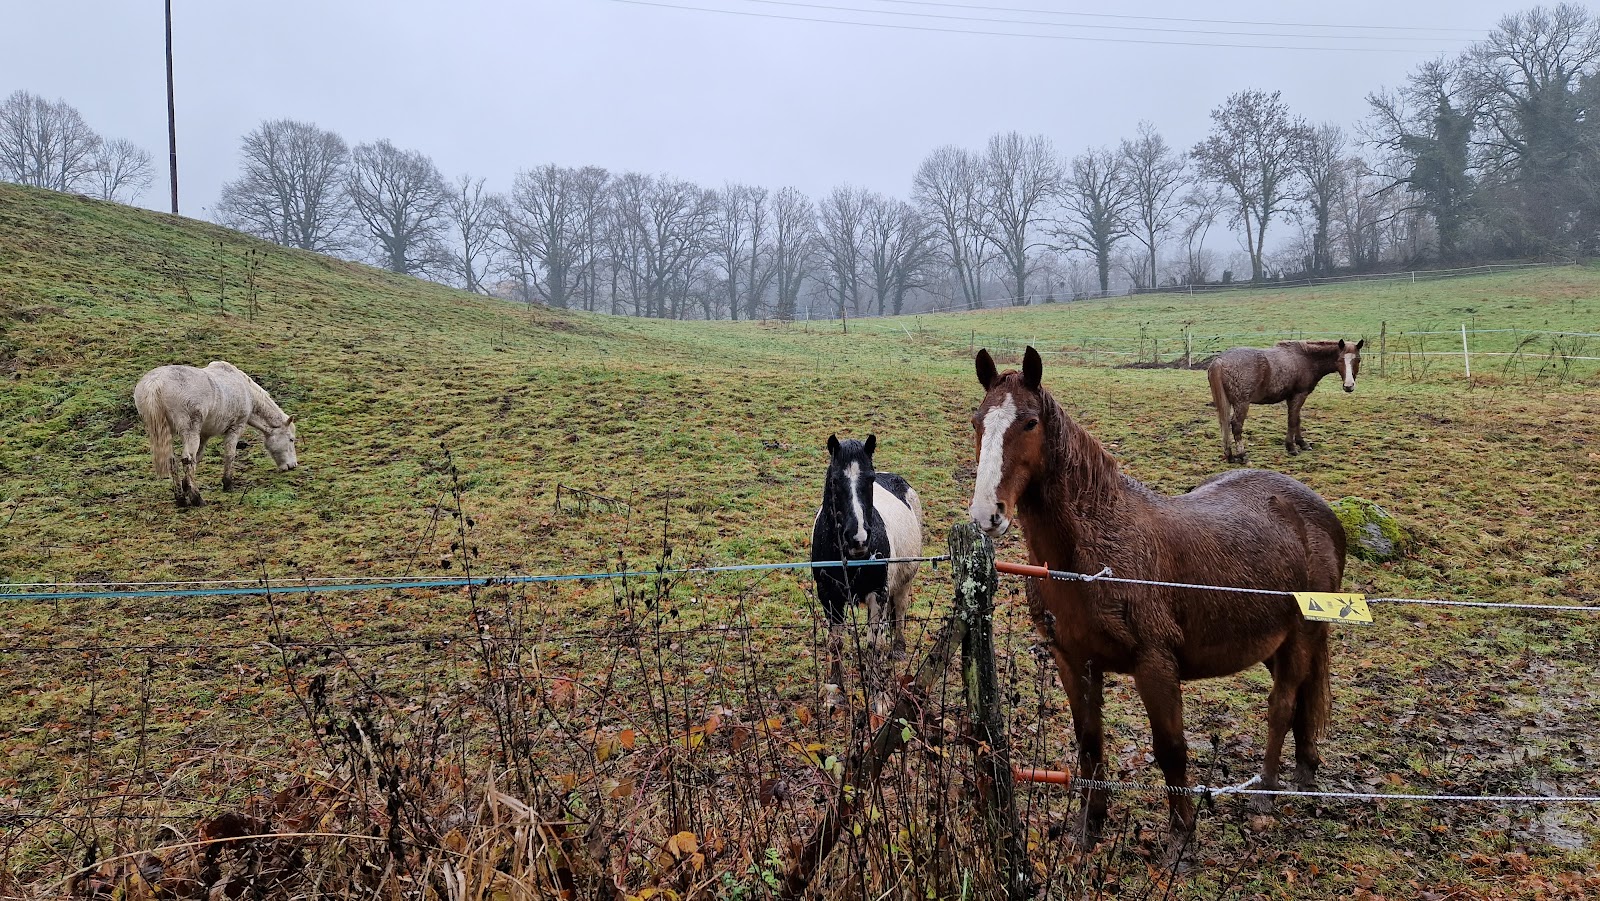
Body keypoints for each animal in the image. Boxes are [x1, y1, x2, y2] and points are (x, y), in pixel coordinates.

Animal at [133, 361, 298, 508]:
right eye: (291, 439)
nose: (292, 465)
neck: (246, 390)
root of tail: (155, 383)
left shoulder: (204, 435)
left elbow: (198, 458)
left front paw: (186, 486)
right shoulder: (235, 428)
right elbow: (229, 454)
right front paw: (227, 484)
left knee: (173, 462)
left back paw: (180, 499)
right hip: (190, 431)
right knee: (187, 459)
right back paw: (197, 499)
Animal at [810, 434, 924, 695]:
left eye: (870, 479)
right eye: (834, 480)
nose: (858, 538)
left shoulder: (877, 594)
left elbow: (874, 644)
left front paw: (876, 692)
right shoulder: (829, 596)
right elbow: (836, 643)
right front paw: (836, 687)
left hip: (904, 582)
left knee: (899, 610)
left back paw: (898, 648)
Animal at [969, 347, 1343, 860]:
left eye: (1028, 423)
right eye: (977, 422)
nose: (987, 514)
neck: (1095, 556)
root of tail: (1320, 511)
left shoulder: (1155, 665)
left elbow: (1171, 751)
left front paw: (1181, 841)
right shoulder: (1074, 661)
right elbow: (1089, 745)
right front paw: (1089, 826)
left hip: (1302, 635)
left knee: (1282, 706)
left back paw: (1266, 792)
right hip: (1275, 642)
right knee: (1301, 700)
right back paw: (1304, 773)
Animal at [1207, 339, 1364, 463]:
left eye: (1358, 359)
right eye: (1340, 360)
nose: (1348, 386)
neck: (1306, 358)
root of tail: (1219, 361)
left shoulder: (1293, 397)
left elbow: (1297, 419)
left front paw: (1302, 443)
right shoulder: (1299, 395)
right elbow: (1292, 420)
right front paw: (1292, 447)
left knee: (1224, 424)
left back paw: (1230, 455)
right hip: (1242, 403)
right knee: (1236, 426)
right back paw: (1242, 455)